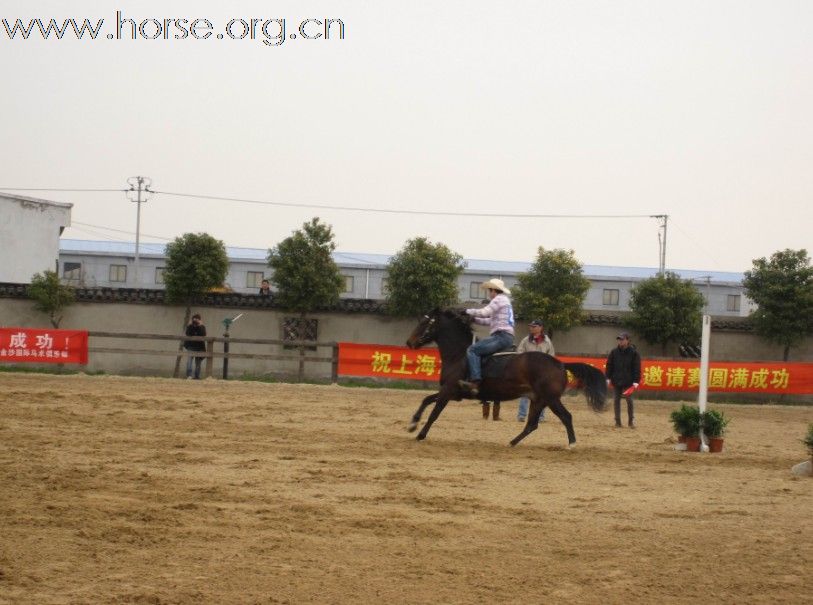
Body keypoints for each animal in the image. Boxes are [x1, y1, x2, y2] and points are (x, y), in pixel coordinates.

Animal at [402, 310, 604, 446]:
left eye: (425, 323)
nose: (409, 342)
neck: (459, 355)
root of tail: (560, 364)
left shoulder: (448, 391)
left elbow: (434, 413)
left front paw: (420, 434)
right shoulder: (451, 392)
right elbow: (426, 400)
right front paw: (412, 424)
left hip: (551, 399)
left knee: (566, 417)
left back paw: (572, 444)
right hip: (538, 400)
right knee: (532, 425)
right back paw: (512, 442)